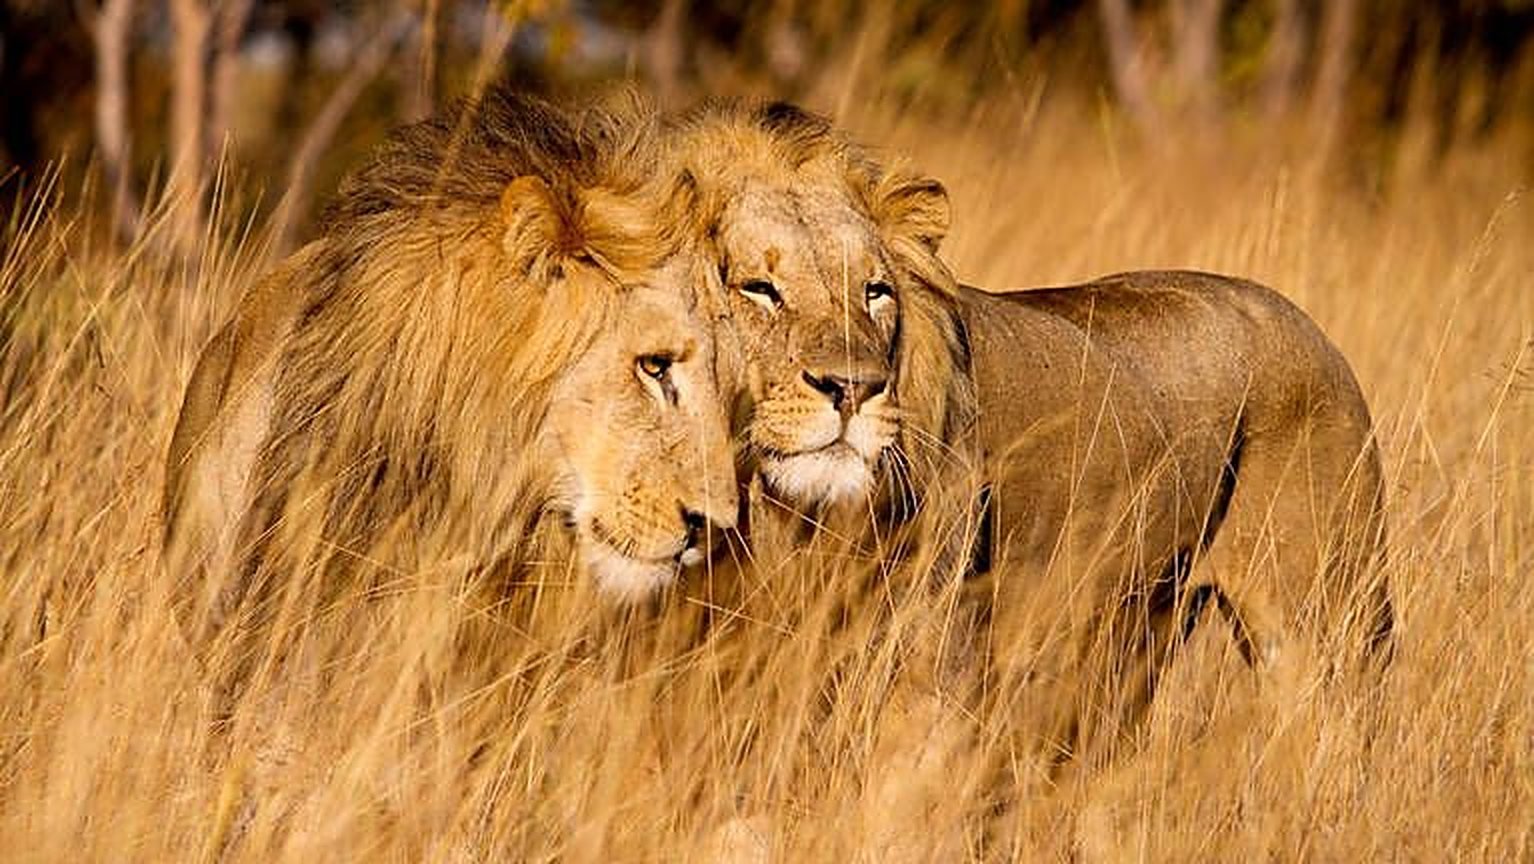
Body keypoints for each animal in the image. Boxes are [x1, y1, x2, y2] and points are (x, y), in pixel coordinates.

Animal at [664, 101, 1393, 778]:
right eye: (759, 288)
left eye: (874, 292)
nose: (853, 387)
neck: (780, 514)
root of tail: (1309, 325)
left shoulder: (933, 649)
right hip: (1136, 633)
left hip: (1321, 619)